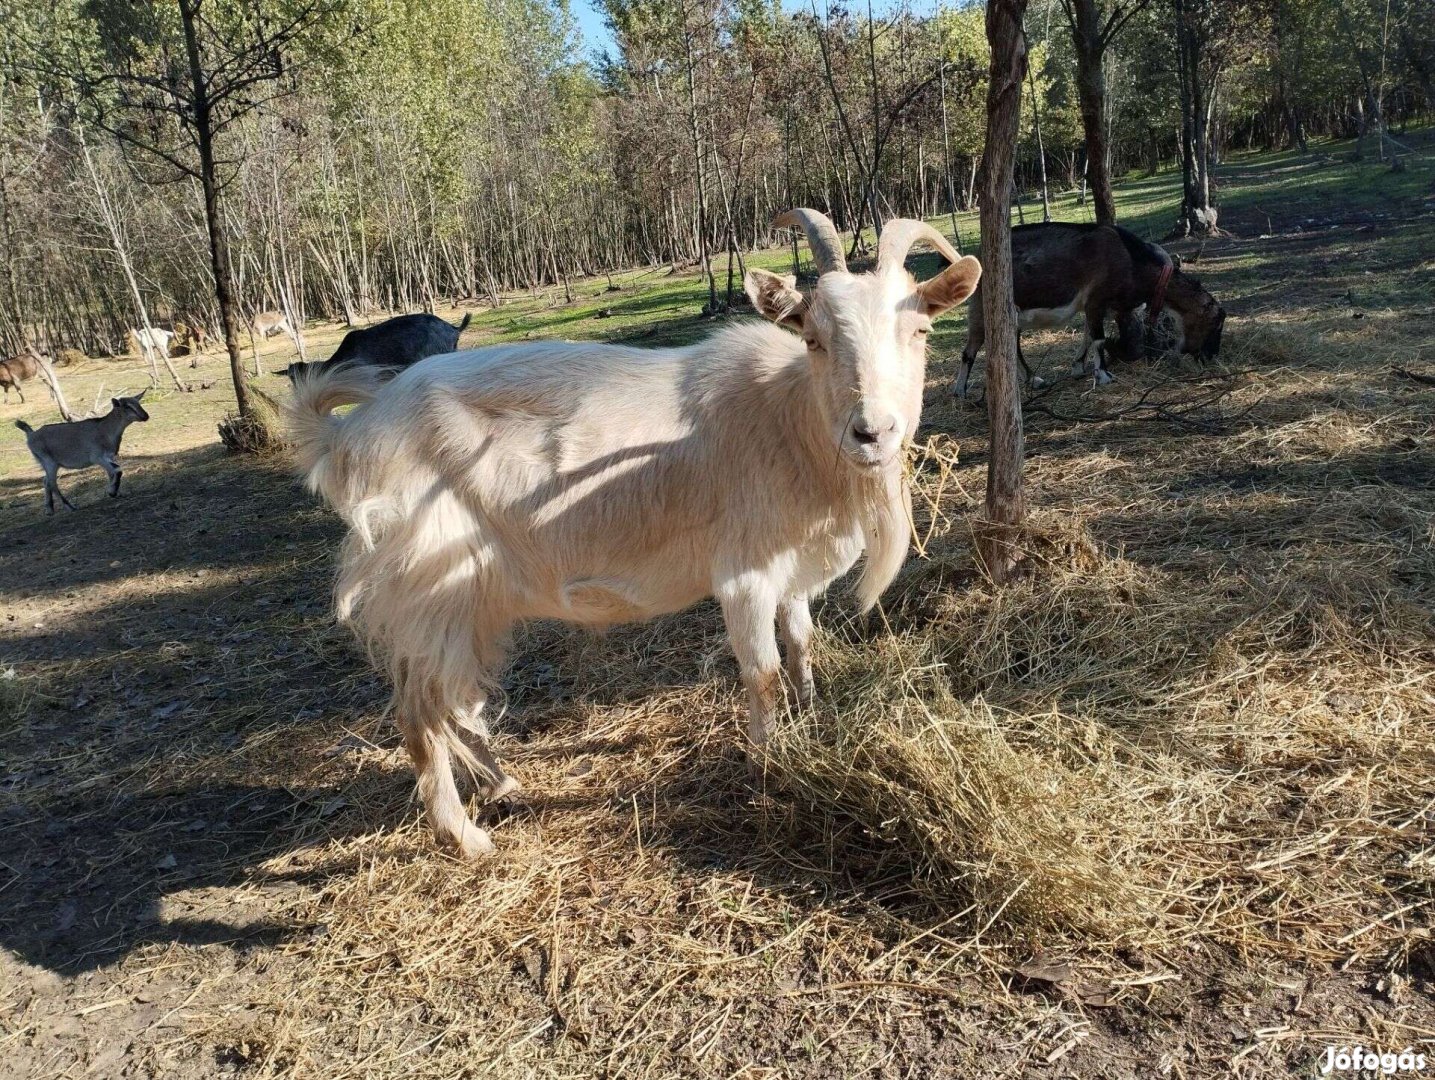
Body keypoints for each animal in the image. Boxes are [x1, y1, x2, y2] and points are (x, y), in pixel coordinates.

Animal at [16, 392, 151, 513]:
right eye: (127, 406)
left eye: (138, 402)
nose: (145, 416)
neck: (105, 430)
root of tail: (31, 435)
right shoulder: (97, 457)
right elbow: (117, 470)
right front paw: (112, 492)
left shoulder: (109, 457)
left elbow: (112, 472)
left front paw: (114, 492)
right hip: (49, 462)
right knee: (52, 483)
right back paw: (70, 507)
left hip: (47, 463)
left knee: (45, 481)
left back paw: (49, 509)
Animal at [952, 223, 1222, 395]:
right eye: (1214, 323)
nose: (1210, 355)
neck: (1132, 259)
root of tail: (977, 257)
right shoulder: (1096, 298)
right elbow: (1099, 339)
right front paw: (1103, 376)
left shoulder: (1094, 306)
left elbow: (1088, 335)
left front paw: (1078, 368)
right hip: (982, 306)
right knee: (970, 349)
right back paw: (960, 391)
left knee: (1011, 345)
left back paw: (1034, 380)